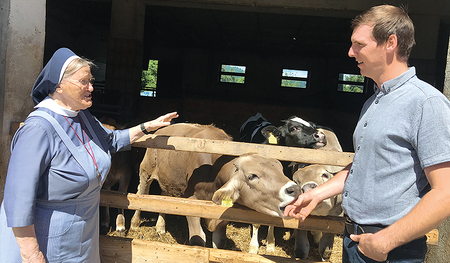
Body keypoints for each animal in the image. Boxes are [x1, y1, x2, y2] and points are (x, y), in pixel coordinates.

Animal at [128, 124, 300, 250]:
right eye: (252, 176)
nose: (294, 189)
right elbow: (198, 239)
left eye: (280, 170)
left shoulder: (221, 217)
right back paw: (135, 223)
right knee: (142, 193)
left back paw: (160, 227)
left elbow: (219, 242)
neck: (213, 171)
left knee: (164, 197)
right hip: (146, 170)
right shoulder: (191, 203)